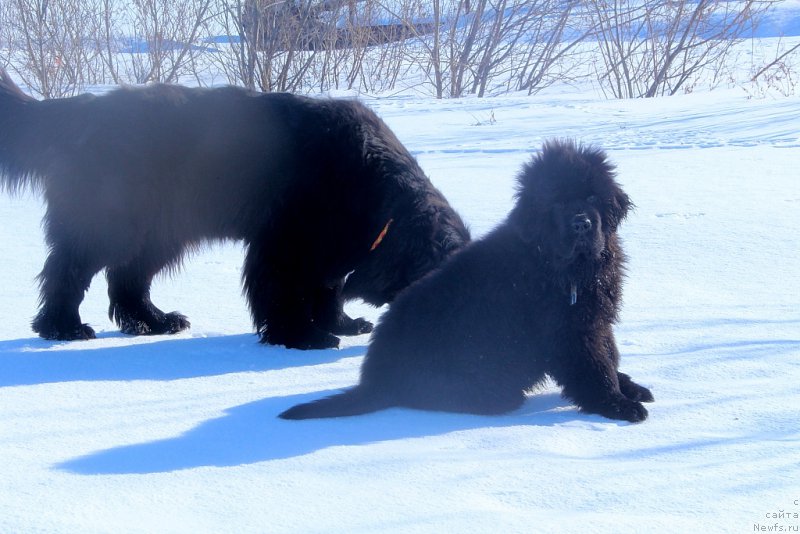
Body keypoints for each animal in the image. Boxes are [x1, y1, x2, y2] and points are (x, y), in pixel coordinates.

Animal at [284, 140, 652, 426]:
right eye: (557, 202)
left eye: (592, 199)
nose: (581, 224)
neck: (565, 266)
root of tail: (373, 380)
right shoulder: (570, 331)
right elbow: (594, 368)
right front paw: (618, 405)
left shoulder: (595, 321)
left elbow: (610, 355)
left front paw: (630, 388)